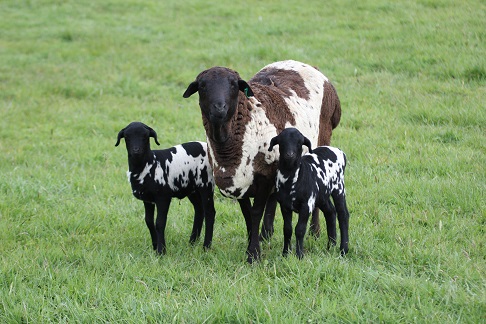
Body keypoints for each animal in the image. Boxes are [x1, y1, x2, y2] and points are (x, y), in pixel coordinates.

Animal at [115, 122, 215, 256]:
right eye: (127, 137)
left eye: (145, 136)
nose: (136, 150)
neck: (149, 164)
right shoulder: (147, 199)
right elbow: (149, 221)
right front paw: (154, 246)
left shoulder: (163, 197)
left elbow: (160, 223)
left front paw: (161, 251)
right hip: (192, 189)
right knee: (199, 210)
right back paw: (192, 242)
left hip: (206, 185)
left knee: (210, 213)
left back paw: (206, 247)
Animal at [183, 60, 342, 264]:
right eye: (202, 86)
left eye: (233, 85)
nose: (219, 108)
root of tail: (305, 64)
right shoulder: (241, 182)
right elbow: (248, 214)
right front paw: (253, 241)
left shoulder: (264, 176)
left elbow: (256, 212)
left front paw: (253, 254)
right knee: (273, 198)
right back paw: (266, 234)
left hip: (322, 139)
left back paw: (314, 232)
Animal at [270, 126, 350, 258]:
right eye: (281, 142)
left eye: (300, 142)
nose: (290, 155)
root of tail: (339, 151)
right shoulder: (284, 205)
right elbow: (287, 229)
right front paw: (285, 254)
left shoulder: (306, 205)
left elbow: (300, 229)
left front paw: (299, 255)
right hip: (322, 195)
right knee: (330, 212)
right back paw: (331, 246)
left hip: (339, 187)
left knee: (343, 215)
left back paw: (343, 249)